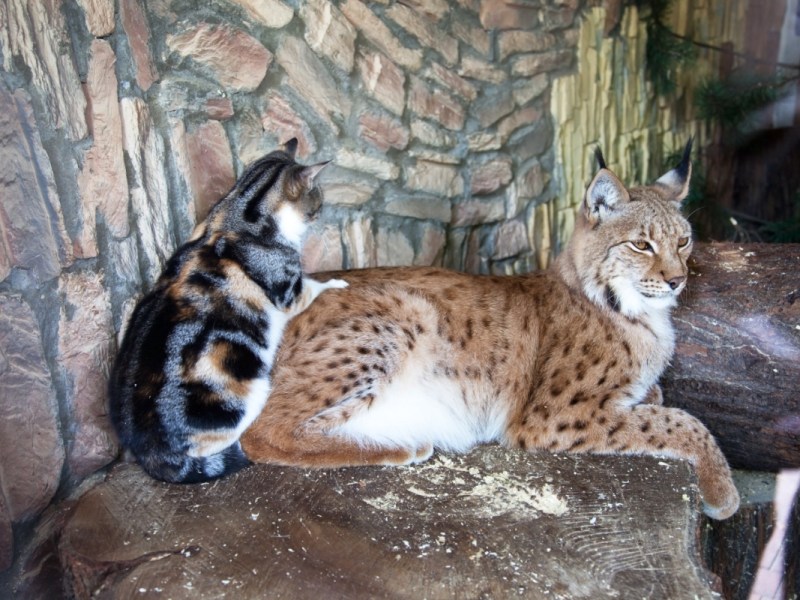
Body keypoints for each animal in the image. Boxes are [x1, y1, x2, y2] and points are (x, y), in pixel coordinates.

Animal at [108, 141, 346, 482]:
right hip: (246, 394)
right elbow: (313, 285)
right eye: (319, 200)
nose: (321, 213)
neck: (237, 215)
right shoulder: (289, 291)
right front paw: (337, 281)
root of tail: (149, 452)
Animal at [241, 142, 740, 520]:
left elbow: (657, 400)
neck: (631, 309)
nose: (678, 280)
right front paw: (722, 491)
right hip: (406, 312)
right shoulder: (553, 416)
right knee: (261, 433)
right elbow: (681, 421)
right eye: (641, 244)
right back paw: (400, 447)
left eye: (684, 241)